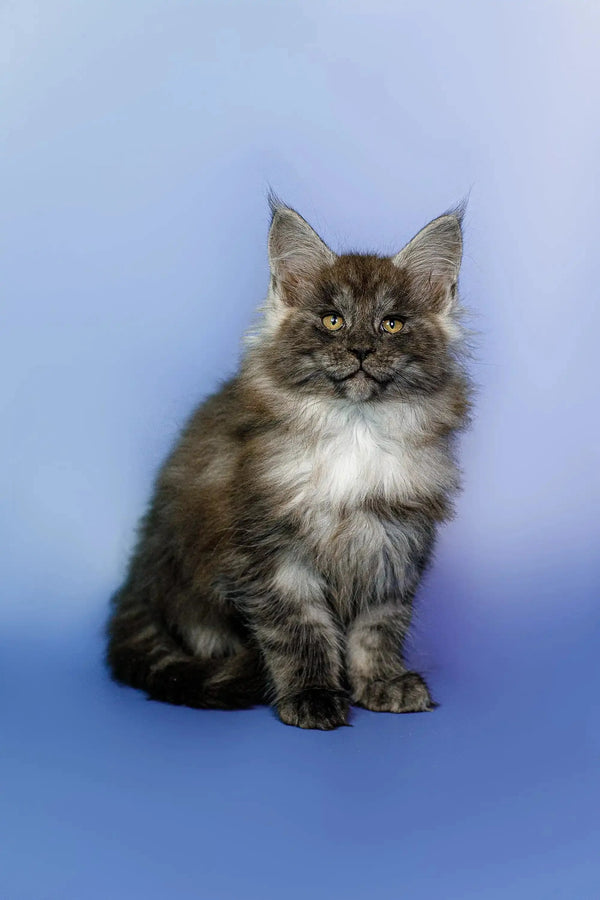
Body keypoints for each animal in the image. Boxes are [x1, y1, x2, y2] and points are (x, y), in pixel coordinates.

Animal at [108, 199, 474, 732]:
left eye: (391, 324)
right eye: (333, 321)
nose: (361, 350)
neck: (355, 429)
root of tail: (138, 580)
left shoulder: (393, 543)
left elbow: (378, 626)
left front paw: (381, 682)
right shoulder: (271, 551)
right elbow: (301, 630)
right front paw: (313, 695)